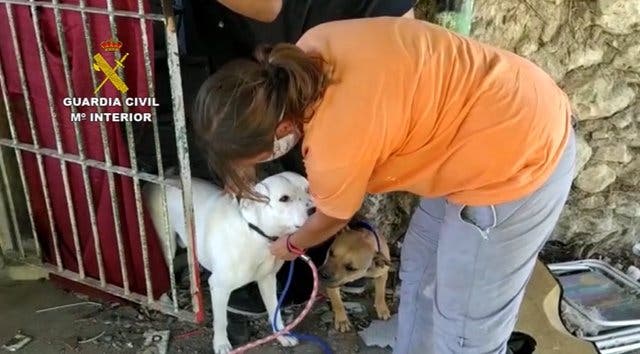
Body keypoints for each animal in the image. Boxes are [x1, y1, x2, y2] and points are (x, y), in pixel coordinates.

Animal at [145, 171, 316, 352]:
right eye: (284, 198)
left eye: (308, 189)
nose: (314, 210)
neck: (256, 233)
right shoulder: (219, 287)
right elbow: (221, 321)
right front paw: (221, 344)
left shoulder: (267, 279)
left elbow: (274, 311)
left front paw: (282, 335)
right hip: (166, 244)